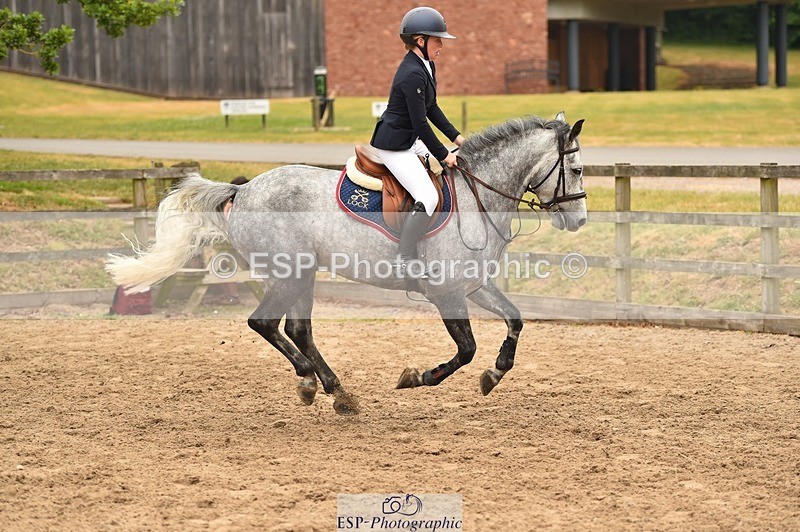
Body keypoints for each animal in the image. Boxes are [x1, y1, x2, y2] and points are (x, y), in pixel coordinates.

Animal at [106, 112, 587, 416]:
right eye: (578, 170)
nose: (579, 219)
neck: (477, 196)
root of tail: (242, 191)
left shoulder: (475, 285)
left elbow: (515, 319)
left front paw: (495, 373)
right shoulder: (446, 292)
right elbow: (465, 349)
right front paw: (417, 377)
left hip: (301, 274)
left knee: (298, 328)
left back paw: (335, 391)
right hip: (291, 271)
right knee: (266, 323)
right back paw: (311, 382)